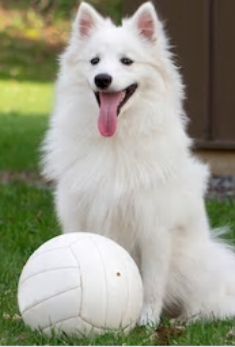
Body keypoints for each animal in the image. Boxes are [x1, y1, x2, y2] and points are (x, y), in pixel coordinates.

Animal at [41, 0, 235, 326]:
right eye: (94, 61)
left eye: (127, 62)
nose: (102, 79)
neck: (114, 141)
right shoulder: (80, 216)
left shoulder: (153, 228)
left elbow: (152, 282)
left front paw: (146, 323)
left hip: (194, 266)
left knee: (204, 305)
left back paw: (184, 321)